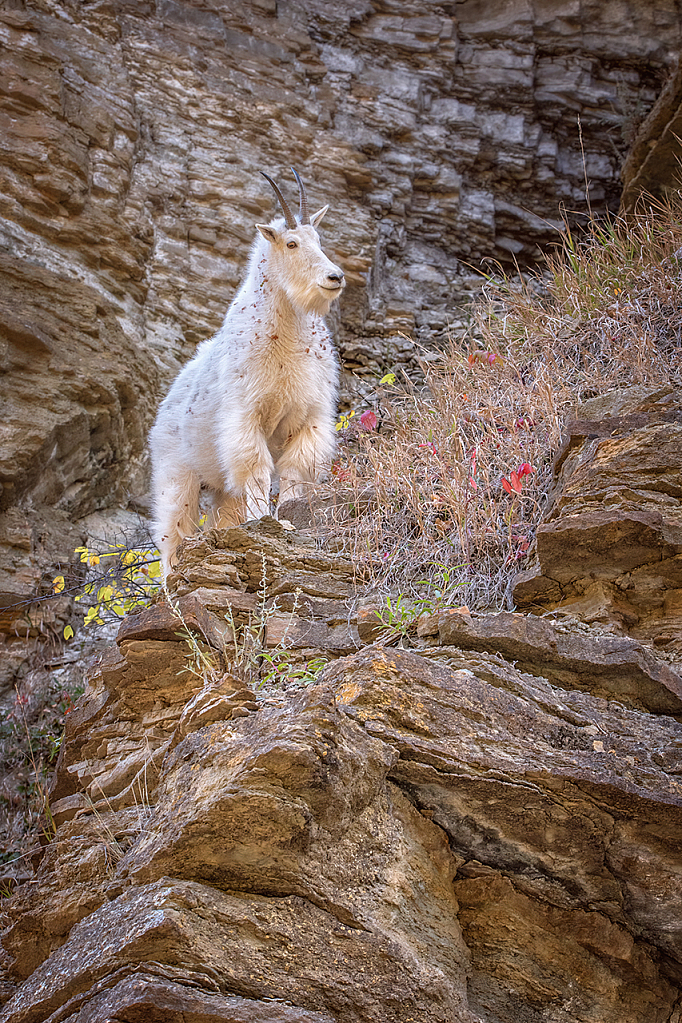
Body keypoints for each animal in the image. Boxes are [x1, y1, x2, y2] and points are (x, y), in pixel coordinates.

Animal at [148, 171, 341, 581]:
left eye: (319, 240)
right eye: (291, 242)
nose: (334, 277)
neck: (286, 338)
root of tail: (167, 401)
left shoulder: (309, 419)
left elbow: (295, 472)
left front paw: (289, 519)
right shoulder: (246, 417)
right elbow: (257, 471)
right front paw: (267, 522)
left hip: (218, 486)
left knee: (219, 517)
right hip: (177, 474)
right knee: (173, 530)